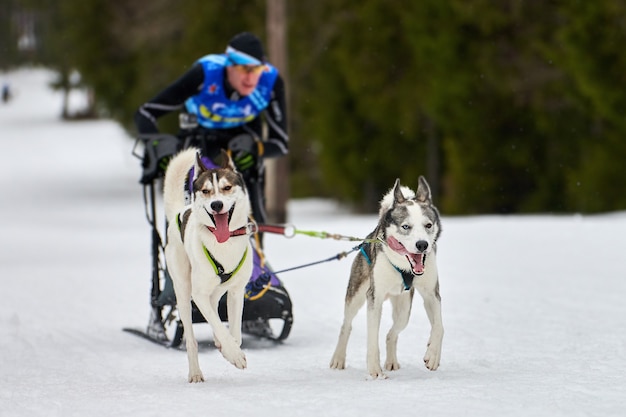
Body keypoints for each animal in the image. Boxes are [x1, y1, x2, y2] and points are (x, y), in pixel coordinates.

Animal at [165, 148, 255, 382]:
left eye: (227, 187)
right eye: (205, 191)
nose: (216, 205)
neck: (224, 243)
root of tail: (180, 212)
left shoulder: (236, 292)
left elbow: (235, 332)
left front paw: (229, 347)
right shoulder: (199, 294)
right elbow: (219, 326)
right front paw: (234, 354)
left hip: (218, 289)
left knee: (214, 306)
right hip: (184, 291)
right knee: (191, 338)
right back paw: (195, 373)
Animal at [330, 176, 442, 376]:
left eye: (428, 225)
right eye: (406, 226)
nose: (422, 245)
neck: (404, 266)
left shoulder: (432, 294)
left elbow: (439, 326)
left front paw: (433, 355)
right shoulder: (374, 298)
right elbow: (372, 338)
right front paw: (374, 370)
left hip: (404, 310)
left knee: (392, 333)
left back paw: (391, 361)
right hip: (356, 297)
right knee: (346, 326)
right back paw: (338, 358)